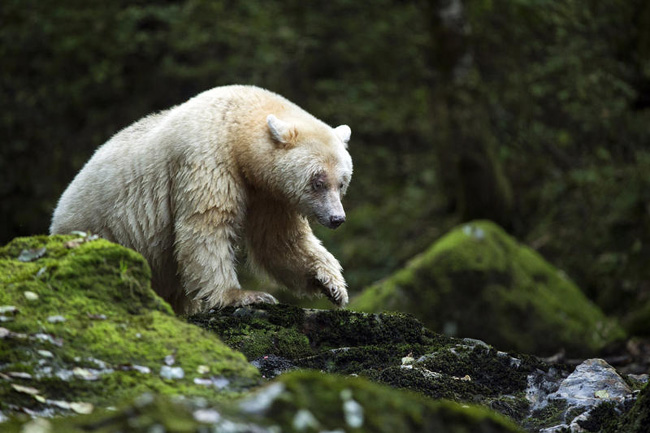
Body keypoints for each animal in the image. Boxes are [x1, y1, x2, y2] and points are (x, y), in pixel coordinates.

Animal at [50, 85, 353, 314]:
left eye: (342, 182)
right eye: (317, 181)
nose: (337, 218)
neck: (237, 125)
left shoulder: (269, 194)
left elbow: (278, 240)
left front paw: (332, 284)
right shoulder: (207, 159)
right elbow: (207, 224)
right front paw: (243, 295)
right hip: (103, 229)